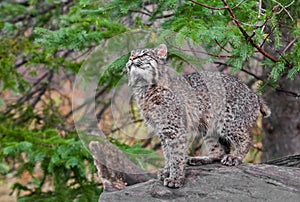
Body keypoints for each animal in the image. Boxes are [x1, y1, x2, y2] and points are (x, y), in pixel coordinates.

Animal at [125, 43, 270, 188]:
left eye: (143, 54)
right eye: (131, 54)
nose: (131, 58)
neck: (144, 89)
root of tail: (253, 93)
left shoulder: (174, 130)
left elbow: (176, 155)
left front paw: (175, 178)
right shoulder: (162, 131)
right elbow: (167, 153)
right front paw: (167, 171)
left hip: (228, 122)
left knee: (246, 139)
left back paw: (235, 157)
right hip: (208, 127)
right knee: (220, 151)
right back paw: (200, 159)